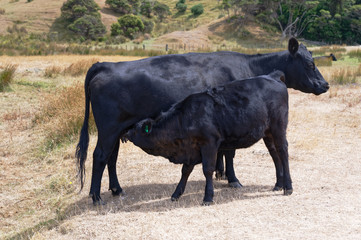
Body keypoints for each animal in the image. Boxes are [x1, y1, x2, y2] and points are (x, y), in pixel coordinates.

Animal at [125, 71, 288, 204]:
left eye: (135, 130)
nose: (125, 134)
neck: (186, 118)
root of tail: (272, 76)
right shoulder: (191, 149)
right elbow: (185, 171)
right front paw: (176, 194)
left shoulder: (209, 143)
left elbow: (207, 169)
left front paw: (208, 197)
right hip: (268, 134)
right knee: (275, 155)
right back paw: (278, 184)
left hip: (279, 128)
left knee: (283, 152)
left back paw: (288, 187)